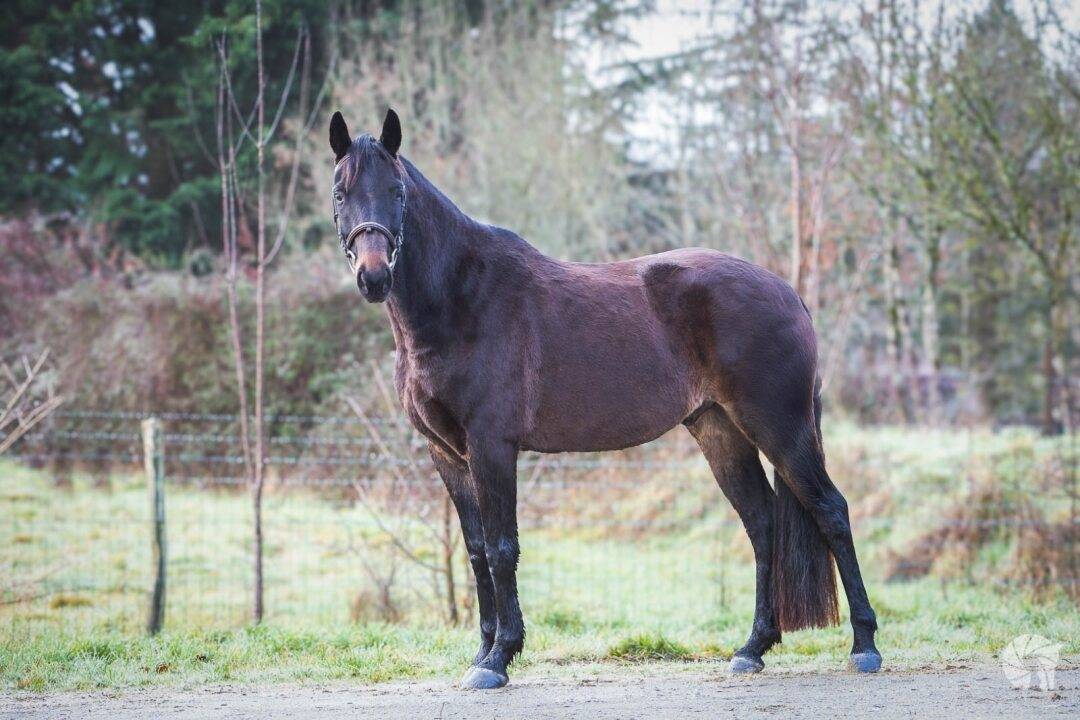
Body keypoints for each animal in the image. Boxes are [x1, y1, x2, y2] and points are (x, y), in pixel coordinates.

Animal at [327, 108, 882, 689]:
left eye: (396, 191)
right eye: (341, 192)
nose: (373, 276)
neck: (462, 299)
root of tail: (789, 294)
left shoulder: (491, 446)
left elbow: (503, 549)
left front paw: (500, 658)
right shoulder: (447, 454)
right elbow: (477, 551)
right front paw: (481, 654)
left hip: (781, 427)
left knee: (831, 511)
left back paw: (864, 646)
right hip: (719, 430)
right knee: (763, 523)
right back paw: (752, 647)